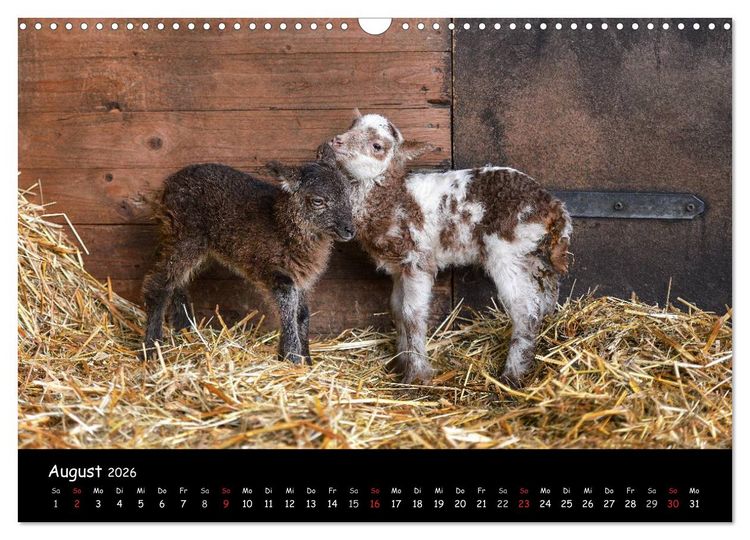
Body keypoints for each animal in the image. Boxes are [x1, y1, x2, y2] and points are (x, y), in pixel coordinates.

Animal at [142, 144, 355, 364]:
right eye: (318, 201)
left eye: (349, 195)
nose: (350, 229)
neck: (282, 225)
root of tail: (168, 184)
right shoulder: (276, 272)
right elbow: (288, 313)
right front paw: (293, 358)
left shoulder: (302, 278)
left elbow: (302, 314)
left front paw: (306, 359)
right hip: (186, 236)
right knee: (158, 285)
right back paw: (152, 348)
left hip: (197, 246)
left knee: (178, 280)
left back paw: (184, 328)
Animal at [329, 110, 572, 386]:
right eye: (352, 126)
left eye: (377, 146)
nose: (337, 140)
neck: (393, 198)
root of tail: (553, 206)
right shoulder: (399, 268)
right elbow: (397, 309)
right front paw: (401, 363)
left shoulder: (418, 260)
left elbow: (412, 314)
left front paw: (417, 375)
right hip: (533, 253)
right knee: (547, 291)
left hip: (506, 252)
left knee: (526, 308)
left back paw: (512, 374)